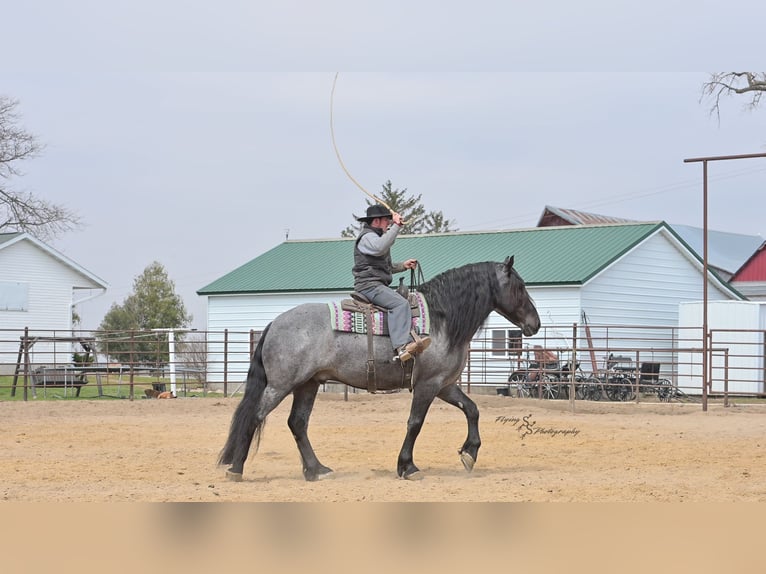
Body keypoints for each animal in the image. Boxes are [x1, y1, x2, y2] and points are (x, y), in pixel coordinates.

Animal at [218, 256, 541, 481]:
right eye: (520, 287)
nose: (535, 324)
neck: (442, 319)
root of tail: (274, 323)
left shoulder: (444, 385)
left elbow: (472, 410)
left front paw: (469, 453)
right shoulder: (427, 385)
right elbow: (415, 423)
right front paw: (407, 466)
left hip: (308, 384)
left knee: (297, 423)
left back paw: (316, 469)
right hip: (281, 385)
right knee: (255, 416)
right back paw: (236, 469)